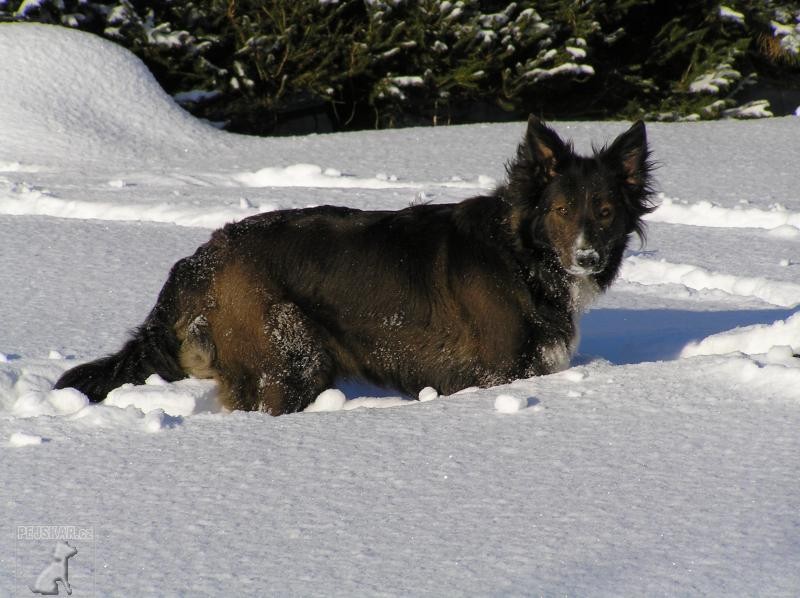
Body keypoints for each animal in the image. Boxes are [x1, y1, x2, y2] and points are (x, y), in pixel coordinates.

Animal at [56, 117, 656, 418]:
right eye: (560, 211)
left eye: (605, 211)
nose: (588, 257)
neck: (521, 258)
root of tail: (202, 255)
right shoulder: (497, 372)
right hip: (290, 357)